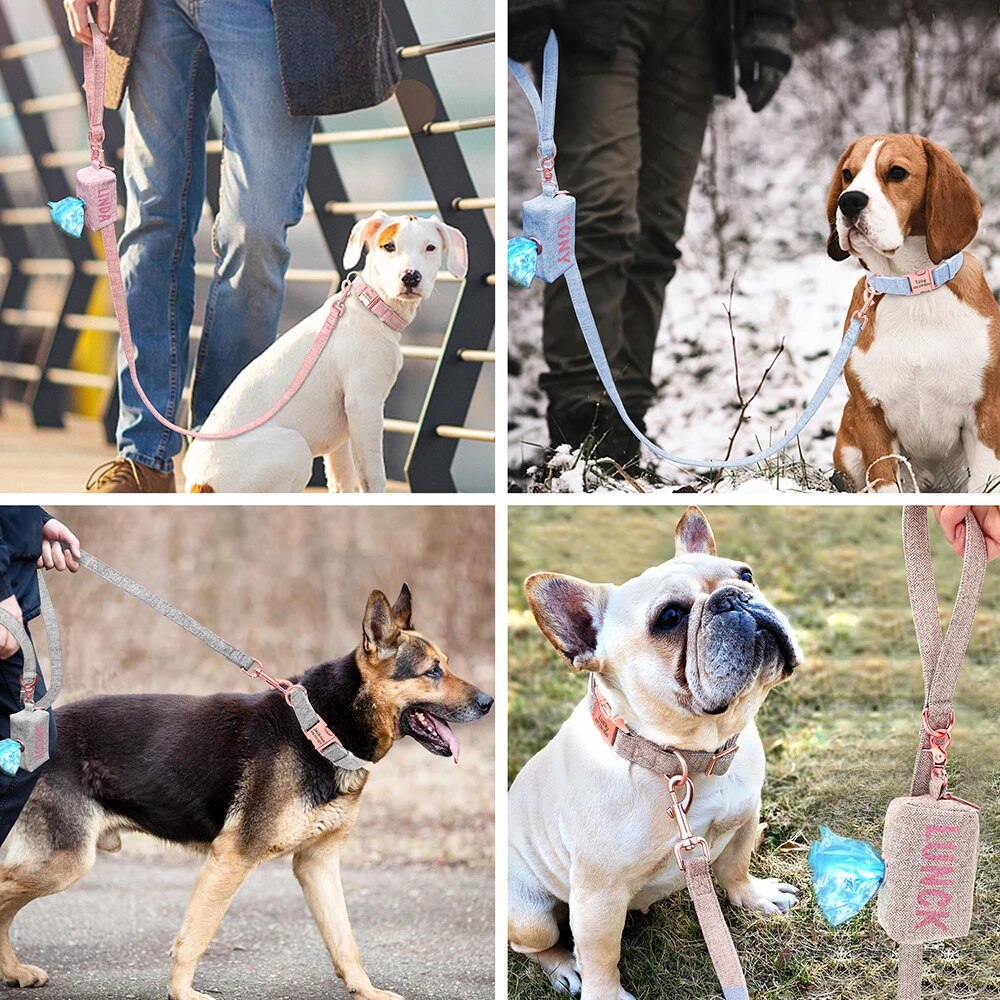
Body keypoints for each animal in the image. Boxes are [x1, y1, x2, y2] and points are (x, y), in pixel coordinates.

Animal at [0, 584, 492, 1000]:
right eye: (432, 671)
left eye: (446, 665)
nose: (488, 702)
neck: (322, 727)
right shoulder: (232, 857)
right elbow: (195, 937)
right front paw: (182, 994)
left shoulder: (318, 864)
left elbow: (345, 940)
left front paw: (365, 991)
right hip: (65, 862)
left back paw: (15, 972)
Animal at [182, 211, 466, 492]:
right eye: (389, 246)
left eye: (430, 248)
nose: (411, 276)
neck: (371, 307)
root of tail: (199, 484)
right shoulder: (364, 405)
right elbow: (373, 476)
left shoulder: (343, 430)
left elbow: (342, 480)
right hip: (294, 447)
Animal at [512, 508, 800, 1000]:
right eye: (669, 617)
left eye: (746, 574)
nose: (733, 598)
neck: (688, 756)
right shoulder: (597, 897)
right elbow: (601, 956)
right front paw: (605, 994)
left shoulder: (745, 816)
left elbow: (736, 864)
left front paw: (753, 896)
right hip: (531, 916)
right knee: (539, 944)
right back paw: (564, 967)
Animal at [828, 133, 1000, 492]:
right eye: (848, 174)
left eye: (896, 173)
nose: (848, 201)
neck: (910, 287)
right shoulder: (871, 418)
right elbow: (884, 482)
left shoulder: (985, 414)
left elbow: (984, 483)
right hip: (848, 438)